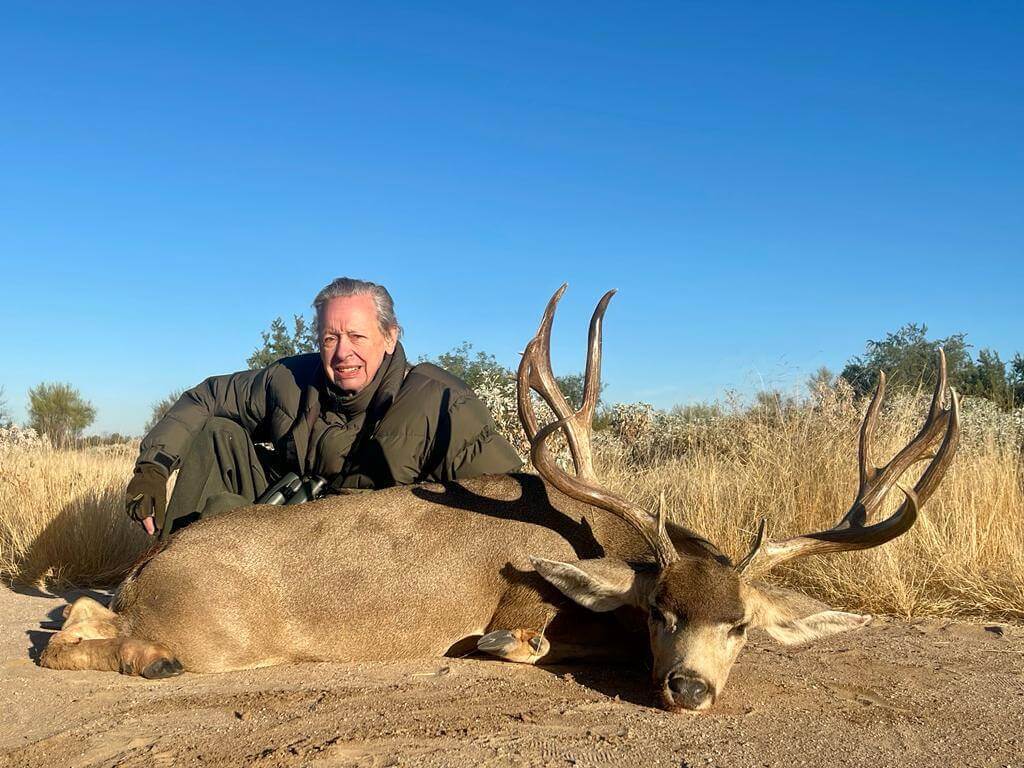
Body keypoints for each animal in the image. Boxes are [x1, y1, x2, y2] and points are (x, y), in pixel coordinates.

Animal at [40, 285, 960, 712]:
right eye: (662, 610)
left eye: (740, 627)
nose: (690, 688)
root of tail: (152, 568)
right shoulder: (524, 604)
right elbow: (518, 642)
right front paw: (504, 645)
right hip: (219, 635)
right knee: (81, 643)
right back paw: (150, 659)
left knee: (74, 616)